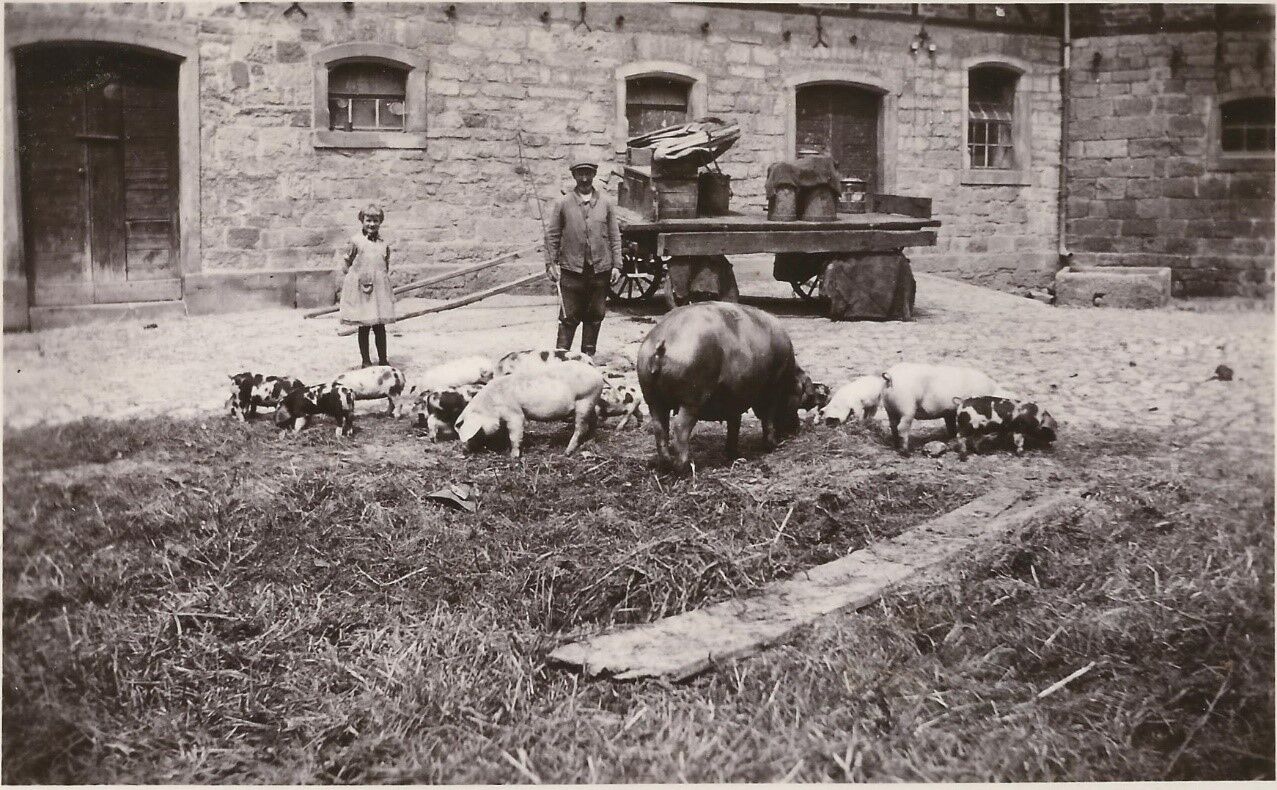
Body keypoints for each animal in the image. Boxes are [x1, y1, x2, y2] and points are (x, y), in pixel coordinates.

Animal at [454, 359, 602, 456]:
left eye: (475, 433)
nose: (464, 451)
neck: (491, 403)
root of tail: (597, 373)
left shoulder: (514, 413)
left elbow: (515, 434)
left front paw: (513, 456)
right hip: (591, 402)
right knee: (593, 421)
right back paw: (590, 440)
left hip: (585, 400)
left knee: (581, 427)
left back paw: (567, 452)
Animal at [635, 302, 807, 472]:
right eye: (800, 394)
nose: (796, 428)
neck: (790, 377)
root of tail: (661, 345)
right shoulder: (772, 392)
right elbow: (768, 419)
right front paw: (773, 446)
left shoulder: (735, 399)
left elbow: (734, 425)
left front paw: (734, 454)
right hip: (691, 400)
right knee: (679, 429)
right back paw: (684, 468)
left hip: (653, 399)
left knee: (660, 428)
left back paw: (665, 465)